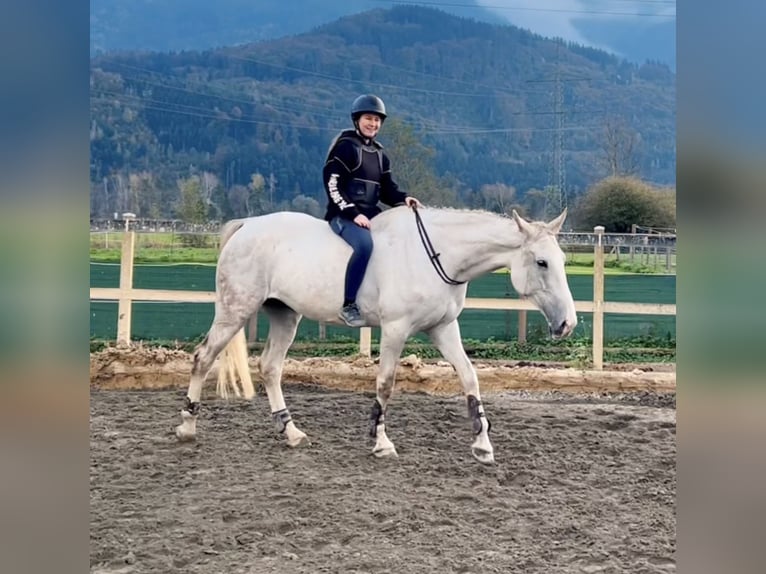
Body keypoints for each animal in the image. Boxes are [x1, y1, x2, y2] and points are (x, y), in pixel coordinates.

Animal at [177, 205, 576, 466]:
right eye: (541, 262)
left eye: (561, 260)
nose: (567, 324)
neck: (437, 255)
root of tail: (246, 226)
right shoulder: (396, 330)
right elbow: (385, 383)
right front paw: (381, 442)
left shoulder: (443, 329)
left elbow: (469, 378)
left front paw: (482, 444)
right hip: (235, 311)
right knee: (203, 358)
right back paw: (187, 426)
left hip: (284, 315)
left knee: (270, 367)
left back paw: (291, 433)